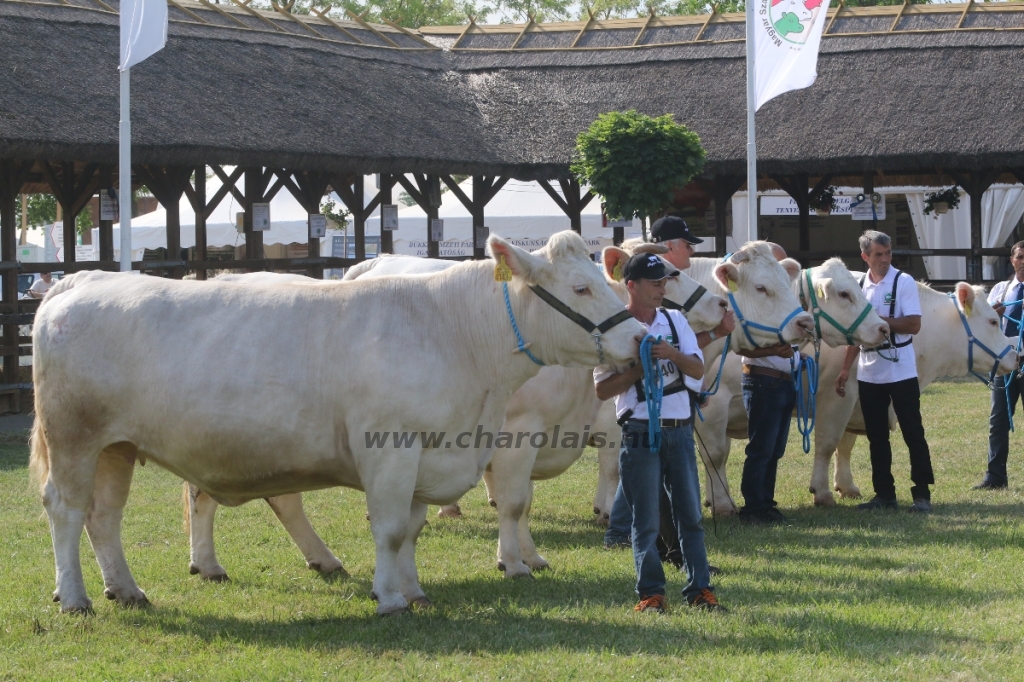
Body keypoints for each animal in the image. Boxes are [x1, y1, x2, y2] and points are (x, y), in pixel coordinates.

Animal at [29, 231, 638, 614]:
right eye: (581, 287)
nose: (638, 336)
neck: (455, 333)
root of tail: (83, 280)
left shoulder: (427, 452)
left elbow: (412, 528)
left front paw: (413, 591)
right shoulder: (392, 448)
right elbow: (392, 528)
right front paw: (390, 599)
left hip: (116, 446)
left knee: (105, 516)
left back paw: (127, 589)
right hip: (74, 437)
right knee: (66, 508)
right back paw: (76, 598)